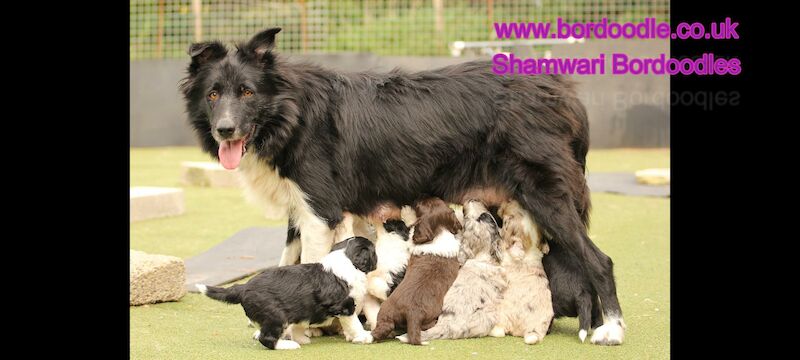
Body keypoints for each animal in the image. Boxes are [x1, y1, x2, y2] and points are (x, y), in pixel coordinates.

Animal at [197, 236, 378, 348]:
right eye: (373, 251)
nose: (378, 258)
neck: (346, 259)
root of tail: (243, 287)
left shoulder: (303, 310)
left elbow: (300, 324)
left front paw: (302, 337)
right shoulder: (345, 306)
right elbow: (354, 324)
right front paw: (363, 336)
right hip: (276, 315)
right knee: (267, 338)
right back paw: (288, 345)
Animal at [490, 201, 552, 344]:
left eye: (506, 222)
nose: (503, 204)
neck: (530, 250)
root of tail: (530, 330)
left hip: (501, 316)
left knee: (500, 331)